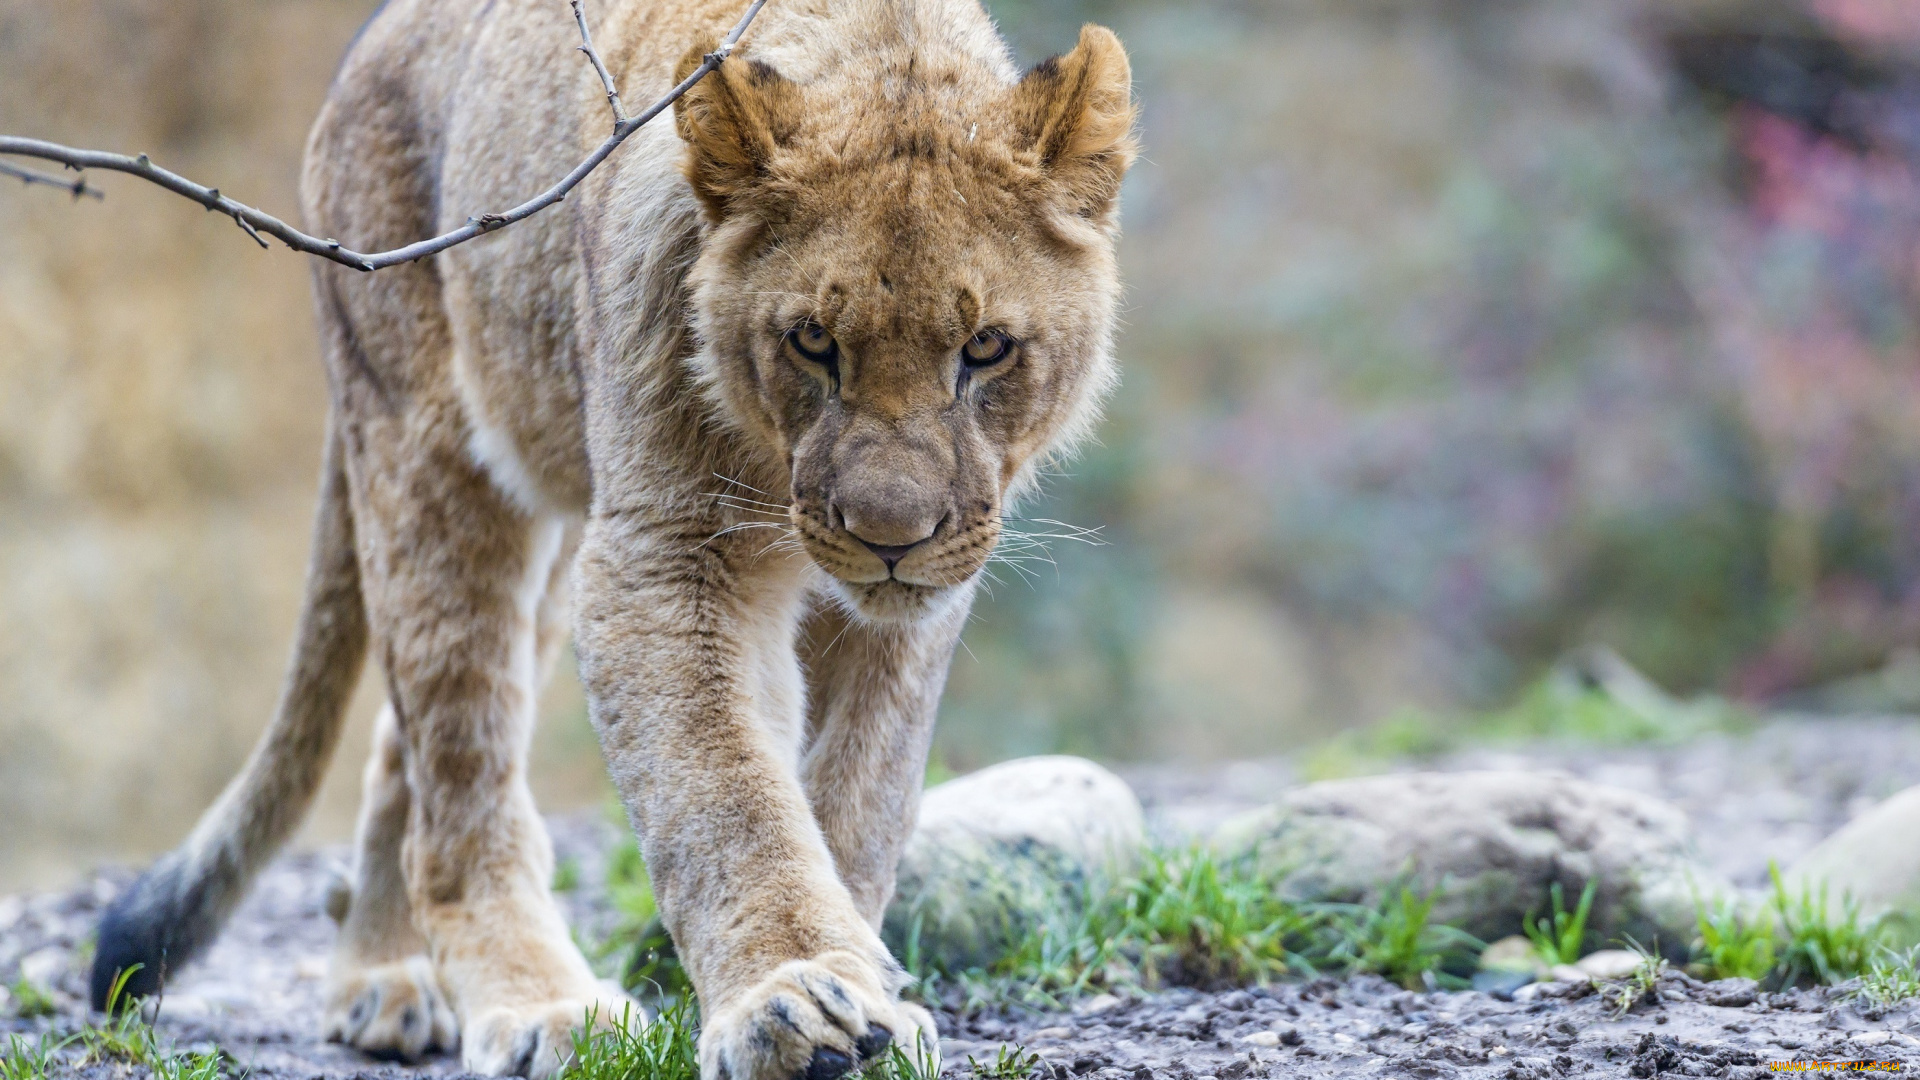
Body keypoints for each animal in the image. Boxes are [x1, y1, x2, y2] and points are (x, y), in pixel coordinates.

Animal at [90, 0, 1128, 1068]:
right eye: (812, 341)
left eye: (986, 349)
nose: (891, 536)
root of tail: (370, 39)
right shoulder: (663, 555)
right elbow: (725, 792)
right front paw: (791, 996)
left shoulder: (905, 604)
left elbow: (859, 795)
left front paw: (867, 986)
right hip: (432, 459)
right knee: (457, 764)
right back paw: (536, 1007)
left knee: (400, 744)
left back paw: (384, 975)